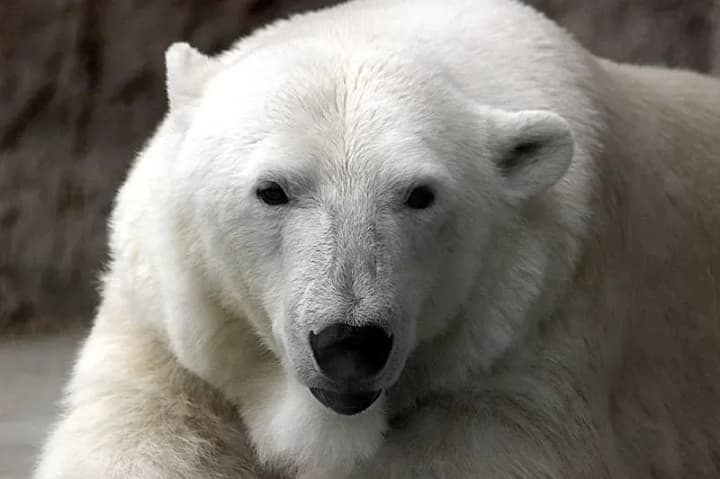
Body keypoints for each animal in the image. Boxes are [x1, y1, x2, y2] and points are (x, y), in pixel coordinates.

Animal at [35, 0, 720, 477]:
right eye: (273, 190)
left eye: (419, 194)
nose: (349, 343)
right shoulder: (169, 325)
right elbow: (139, 434)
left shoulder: (530, 335)